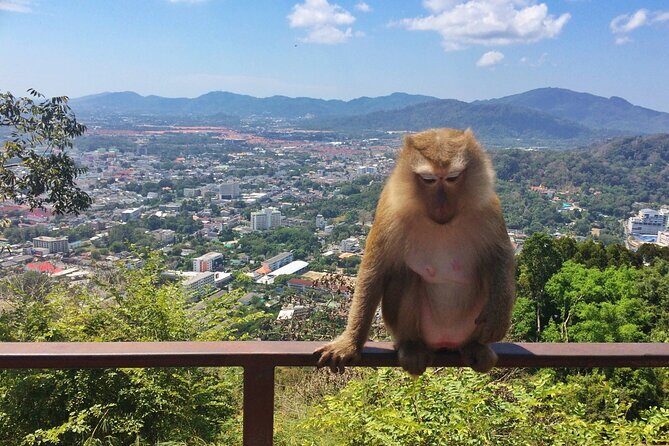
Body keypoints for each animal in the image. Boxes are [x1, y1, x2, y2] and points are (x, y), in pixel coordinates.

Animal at [315, 128, 515, 376]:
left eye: (452, 178)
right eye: (429, 180)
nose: (441, 203)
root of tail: (445, 342)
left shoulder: (488, 206)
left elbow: (500, 256)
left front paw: (498, 317)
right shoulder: (389, 208)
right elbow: (373, 272)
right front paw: (349, 344)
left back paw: (475, 346)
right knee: (406, 276)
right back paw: (411, 346)